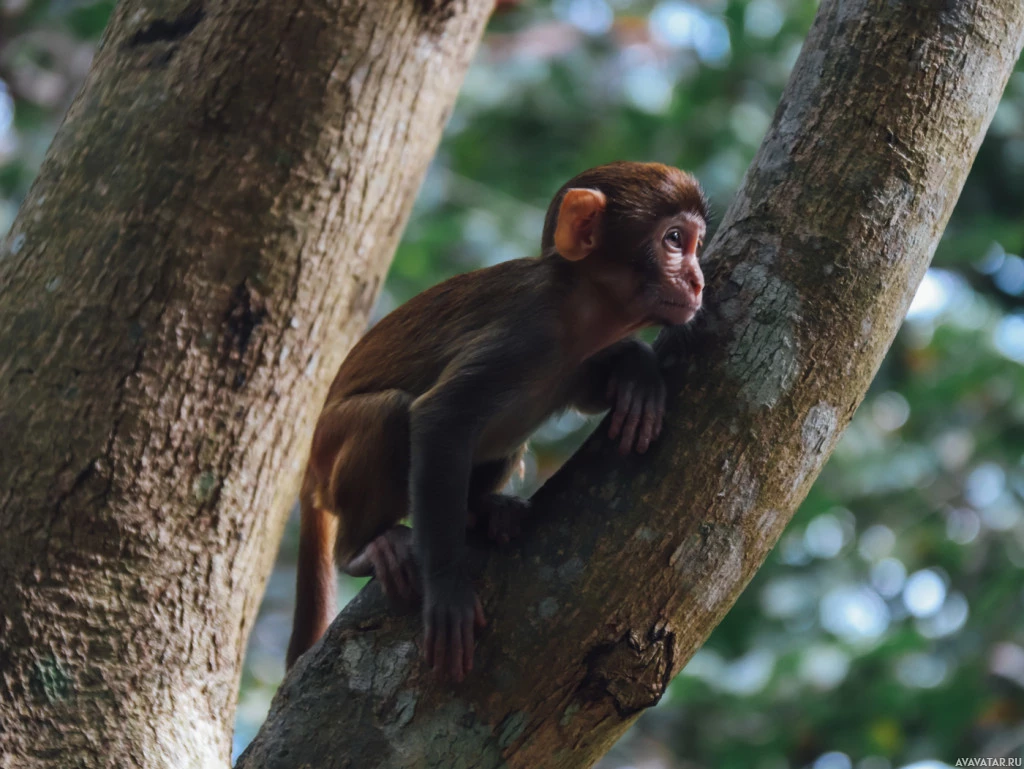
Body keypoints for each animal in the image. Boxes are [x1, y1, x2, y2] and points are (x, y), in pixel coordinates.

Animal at [284, 160, 708, 679]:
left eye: (696, 244)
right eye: (674, 239)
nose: (698, 282)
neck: (576, 312)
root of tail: (308, 470)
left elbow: (589, 391)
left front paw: (638, 371)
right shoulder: (526, 334)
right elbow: (439, 418)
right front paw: (447, 589)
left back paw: (484, 508)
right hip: (331, 449)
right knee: (389, 416)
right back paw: (363, 550)